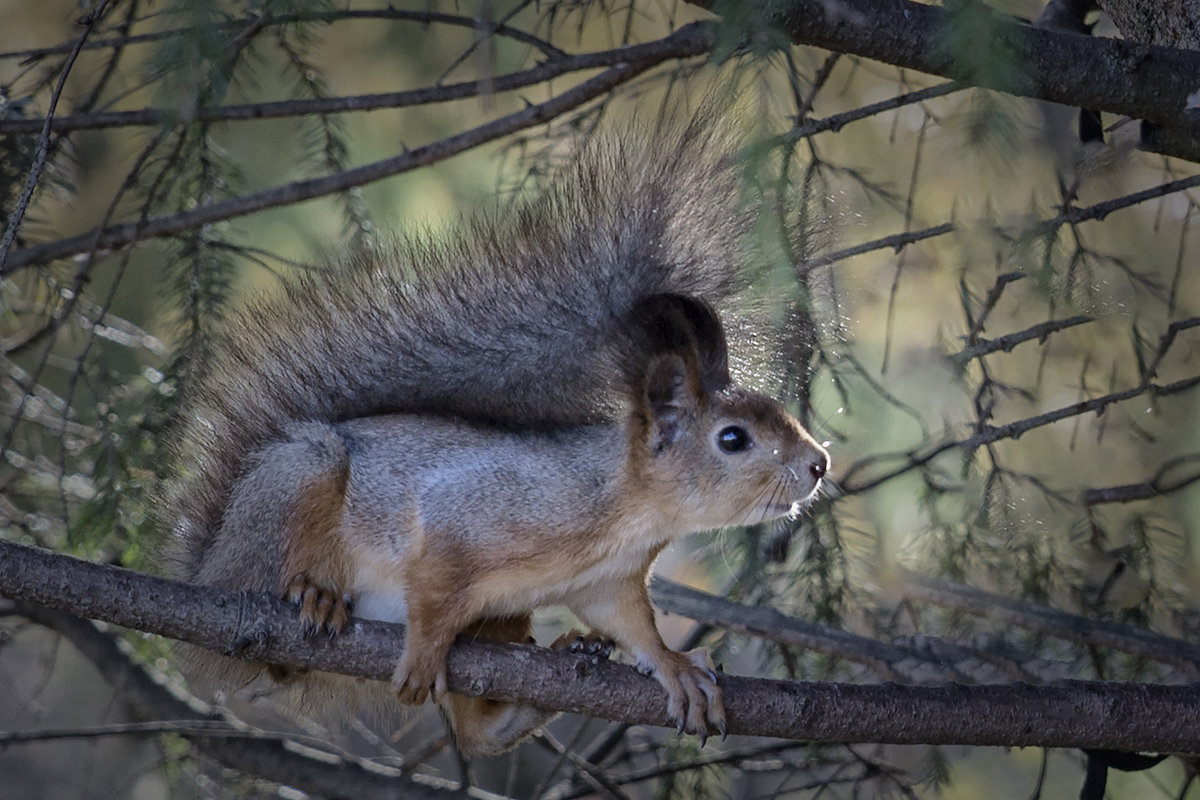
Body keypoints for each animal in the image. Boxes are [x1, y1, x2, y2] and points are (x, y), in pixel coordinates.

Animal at [159, 112, 830, 758]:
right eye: (733, 439)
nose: (820, 463)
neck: (624, 511)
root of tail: (207, 567)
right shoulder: (467, 517)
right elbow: (433, 589)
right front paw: (425, 649)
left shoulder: (608, 582)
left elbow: (634, 626)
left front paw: (674, 667)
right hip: (296, 486)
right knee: (273, 587)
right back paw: (312, 594)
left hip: (501, 621)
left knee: (476, 733)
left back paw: (550, 680)